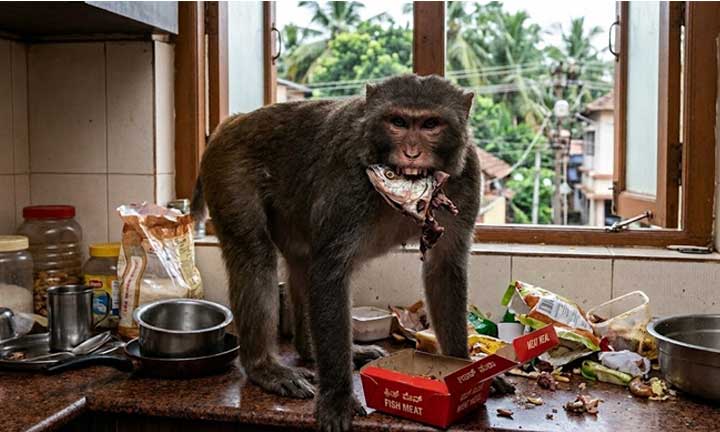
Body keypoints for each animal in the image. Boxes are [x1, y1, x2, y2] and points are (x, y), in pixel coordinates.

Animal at [191, 74, 481, 432]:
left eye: (430, 124)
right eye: (398, 122)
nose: (412, 153)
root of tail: (232, 122)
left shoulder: (466, 177)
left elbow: (445, 267)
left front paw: (464, 367)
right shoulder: (349, 182)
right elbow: (329, 272)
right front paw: (338, 397)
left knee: (301, 263)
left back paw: (311, 350)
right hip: (228, 170)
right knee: (255, 255)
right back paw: (264, 368)